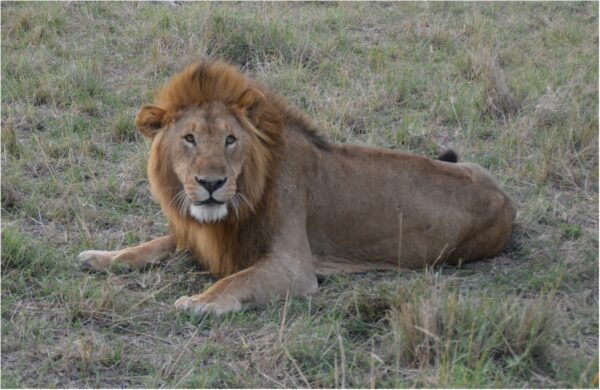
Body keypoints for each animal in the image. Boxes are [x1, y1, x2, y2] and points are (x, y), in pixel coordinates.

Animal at [78, 61, 516, 316]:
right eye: (189, 139)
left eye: (230, 140)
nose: (211, 184)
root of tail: (504, 196)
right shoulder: (199, 233)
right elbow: (149, 245)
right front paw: (100, 257)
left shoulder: (294, 266)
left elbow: (237, 281)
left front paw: (200, 301)